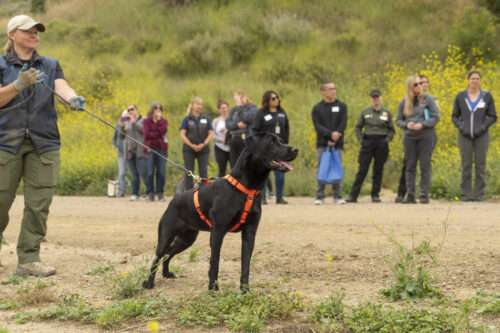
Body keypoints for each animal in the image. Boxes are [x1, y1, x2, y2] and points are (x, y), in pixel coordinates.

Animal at [142, 132, 296, 290]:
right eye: (271, 142)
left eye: (280, 140)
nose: (295, 150)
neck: (246, 188)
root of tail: (175, 199)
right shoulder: (218, 232)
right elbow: (214, 262)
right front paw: (213, 288)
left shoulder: (249, 233)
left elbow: (245, 265)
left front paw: (245, 290)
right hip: (166, 236)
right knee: (158, 256)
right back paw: (149, 283)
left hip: (187, 239)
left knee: (168, 254)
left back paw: (166, 273)